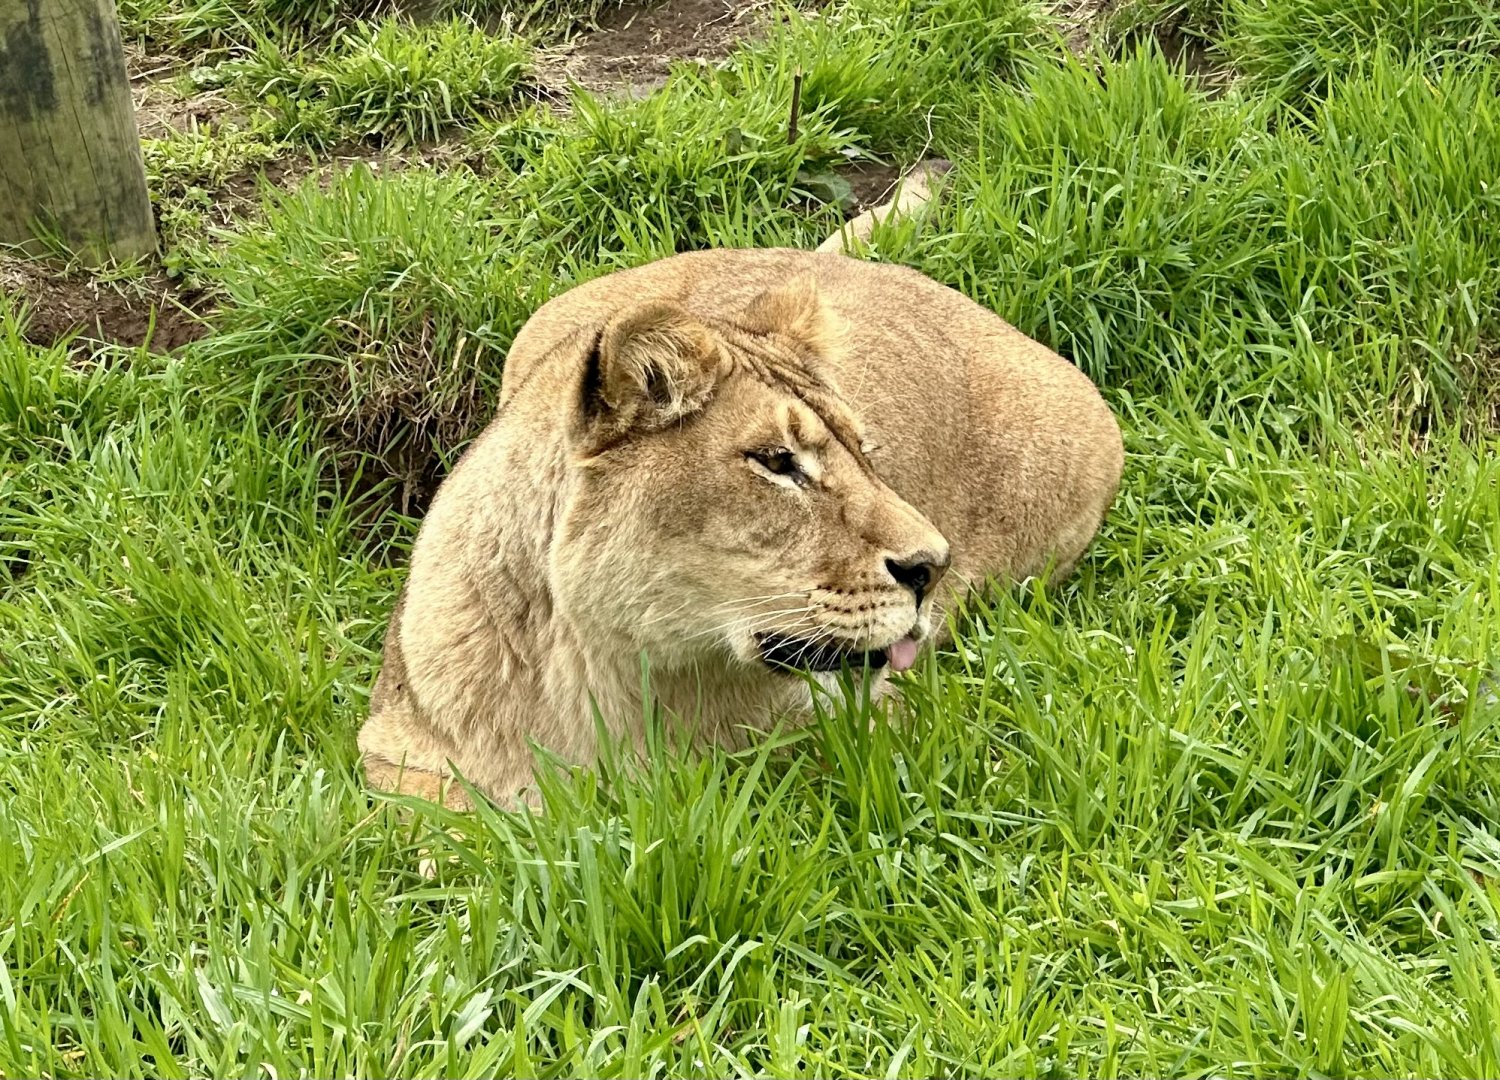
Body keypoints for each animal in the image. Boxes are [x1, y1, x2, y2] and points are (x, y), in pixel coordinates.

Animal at [358, 246, 1123, 809]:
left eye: (865, 453)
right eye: (777, 462)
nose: (932, 567)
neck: (600, 674)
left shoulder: (865, 718)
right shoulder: (392, 748)